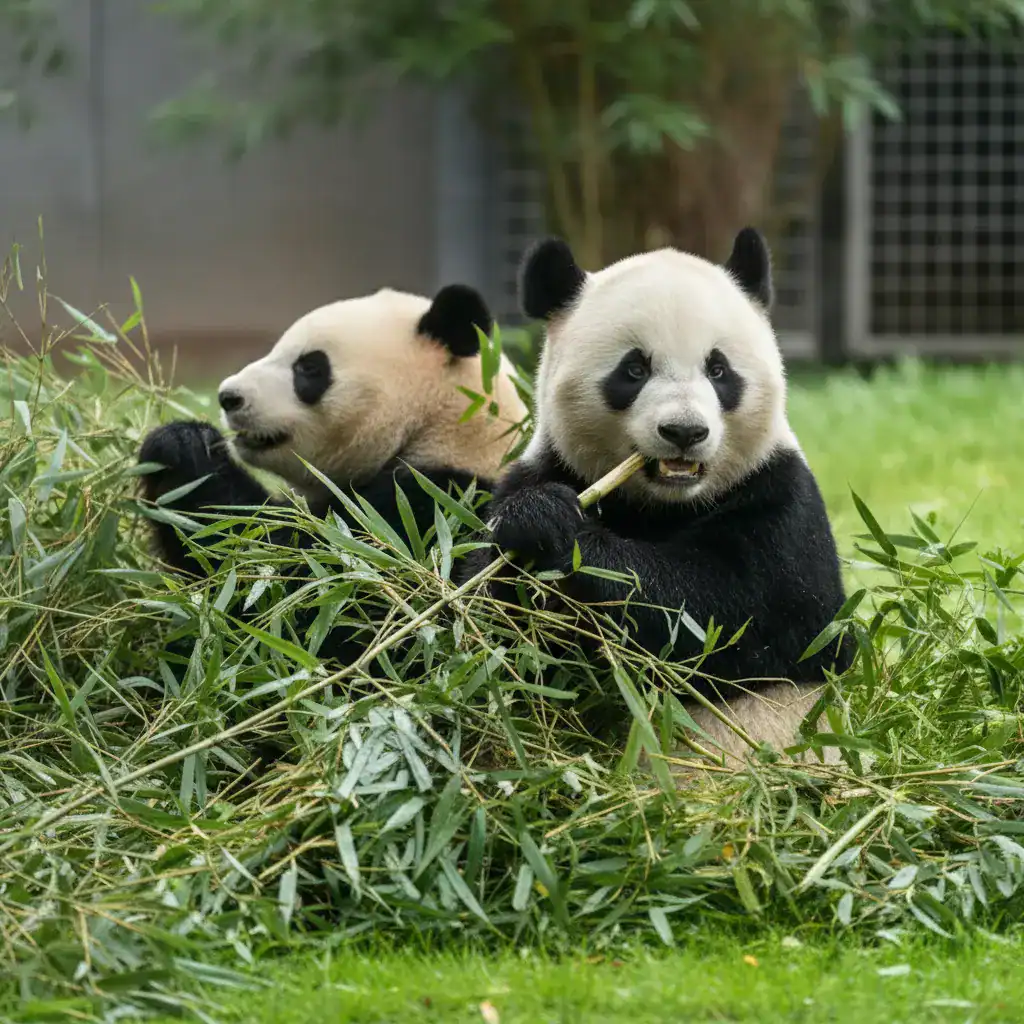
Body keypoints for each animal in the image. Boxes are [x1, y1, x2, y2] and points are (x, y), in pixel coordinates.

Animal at [138, 283, 527, 661]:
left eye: (309, 367)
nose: (228, 397)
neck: (444, 427)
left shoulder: (433, 510)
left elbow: (314, 598)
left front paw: (184, 448)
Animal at [461, 228, 853, 766]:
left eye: (718, 369)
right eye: (633, 369)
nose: (684, 432)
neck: (663, 504)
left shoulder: (781, 499)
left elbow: (731, 613)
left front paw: (574, 542)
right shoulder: (545, 469)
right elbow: (489, 621)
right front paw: (536, 519)